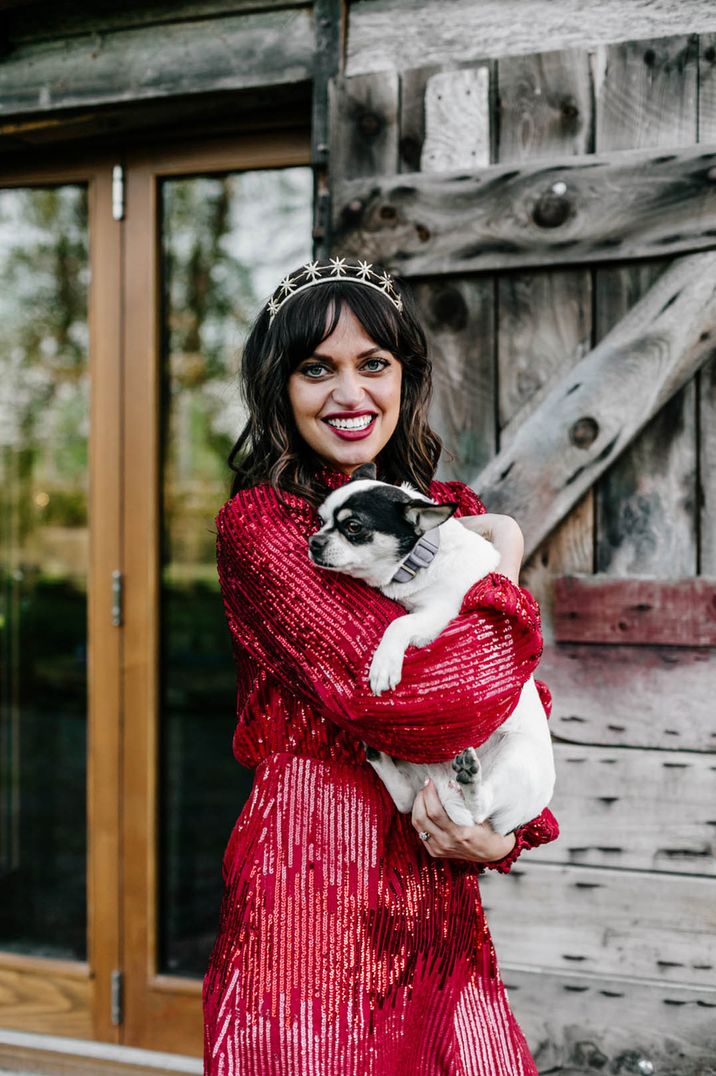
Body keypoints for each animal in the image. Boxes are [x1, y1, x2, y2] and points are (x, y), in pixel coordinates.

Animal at [307, 460, 551, 830]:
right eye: (320, 520)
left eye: (353, 527)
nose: (314, 541)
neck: (422, 559)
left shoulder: (439, 615)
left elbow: (399, 623)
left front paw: (383, 666)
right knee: (407, 800)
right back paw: (379, 756)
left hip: (515, 758)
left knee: (477, 811)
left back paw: (471, 780)